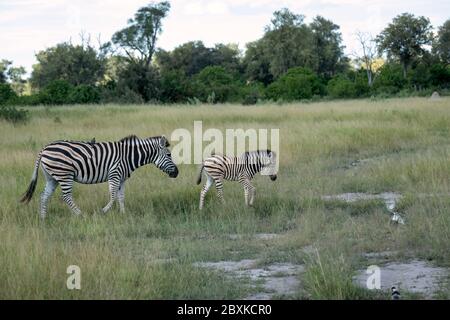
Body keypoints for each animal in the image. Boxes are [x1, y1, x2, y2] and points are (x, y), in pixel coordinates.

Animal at [19, 135, 178, 218]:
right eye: (169, 154)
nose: (177, 173)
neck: (128, 156)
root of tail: (44, 148)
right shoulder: (114, 175)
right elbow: (113, 197)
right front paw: (103, 211)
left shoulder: (122, 179)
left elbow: (121, 197)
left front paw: (123, 214)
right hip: (64, 175)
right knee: (66, 197)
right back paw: (80, 215)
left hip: (52, 177)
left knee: (44, 196)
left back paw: (43, 218)